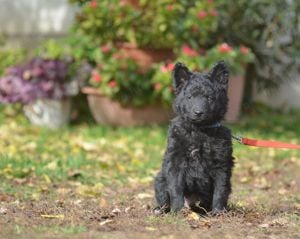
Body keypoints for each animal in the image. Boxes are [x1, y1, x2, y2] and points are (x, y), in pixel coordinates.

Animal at [155, 61, 234, 215]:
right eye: (190, 97)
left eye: (209, 98)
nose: (198, 112)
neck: (199, 131)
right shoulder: (175, 162)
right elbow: (175, 189)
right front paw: (177, 212)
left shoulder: (221, 164)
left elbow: (220, 190)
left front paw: (218, 212)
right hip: (160, 179)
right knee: (163, 199)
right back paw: (160, 210)